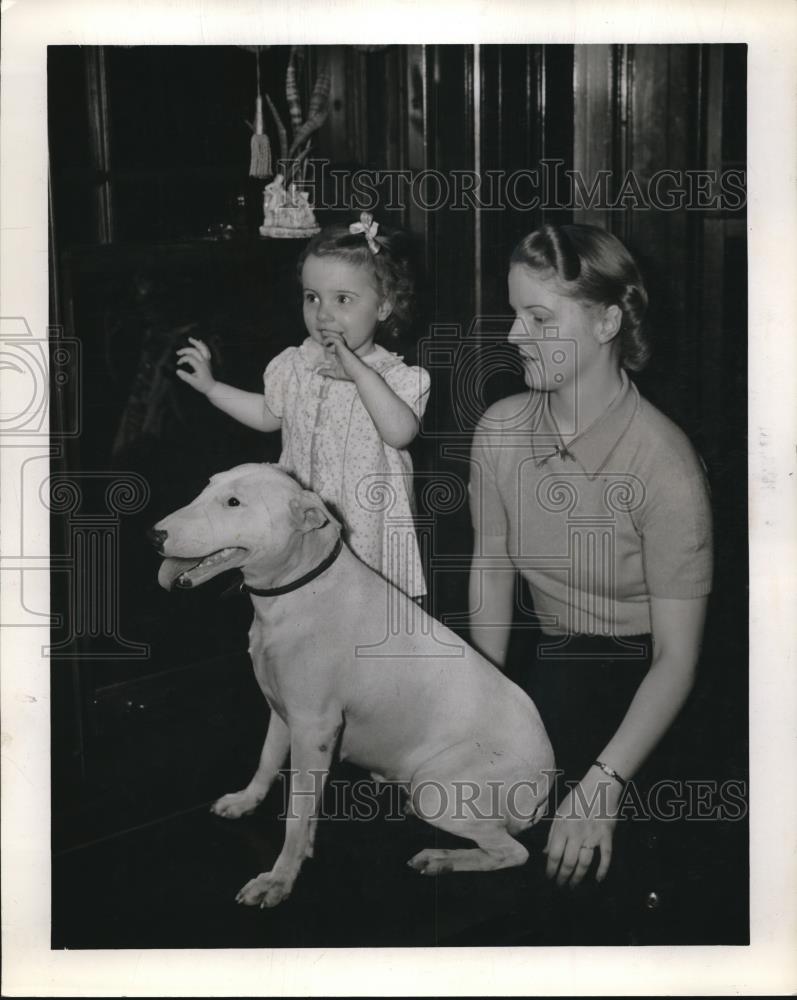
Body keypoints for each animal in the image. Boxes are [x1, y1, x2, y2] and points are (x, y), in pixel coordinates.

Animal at [151, 464, 552, 912]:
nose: (154, 536)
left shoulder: (315, 729)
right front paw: (246, 802)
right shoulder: (284, 714)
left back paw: (442, 858)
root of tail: (546, 781)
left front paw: (279, 879)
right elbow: (268, 762)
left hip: (438, 792)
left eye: (234, 503)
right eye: (208, 487)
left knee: (512, 852)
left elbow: (296, 813)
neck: (297, 589)